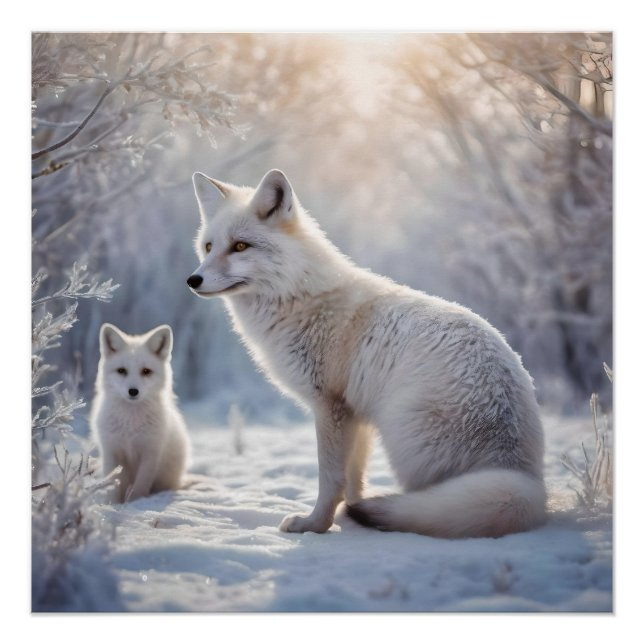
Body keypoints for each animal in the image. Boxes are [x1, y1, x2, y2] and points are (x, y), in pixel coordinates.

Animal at [90, 323, 189, 503]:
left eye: (146, 371)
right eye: (121, 370)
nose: (133, 391)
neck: (131, 423)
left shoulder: (151, 452)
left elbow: (141, 485)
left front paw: (135, 502)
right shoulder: (111, 451)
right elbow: (113, 483)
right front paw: (113, 504)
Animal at [187, 169, 546, 538]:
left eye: (240, 246)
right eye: (209, 246)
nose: (192, 280)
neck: (298, 297)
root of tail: (522, 476)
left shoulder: (330, 407)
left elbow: (331, 479)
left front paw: (315, 525)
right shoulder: (354, 415)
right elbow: (353, 480)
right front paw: (349, 516)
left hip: (404, 442)